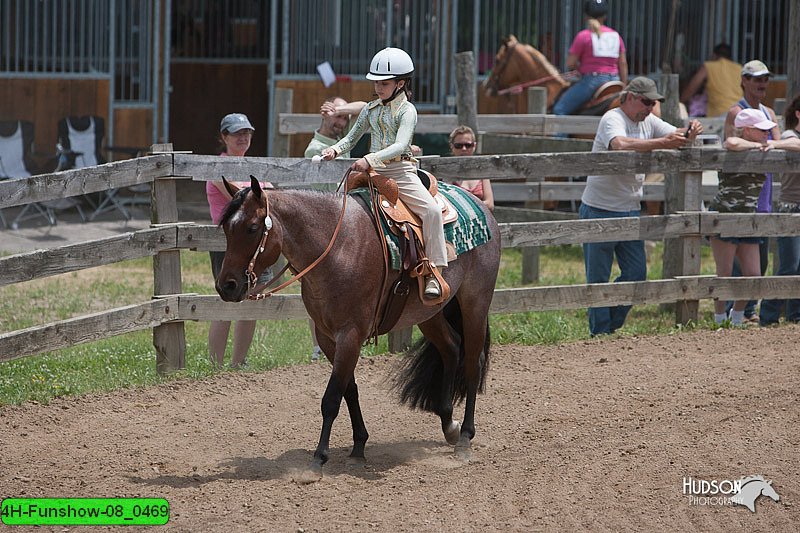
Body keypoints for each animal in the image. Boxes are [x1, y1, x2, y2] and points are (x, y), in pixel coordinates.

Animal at [212, 176, 500, 478]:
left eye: (252, 228)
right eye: (227, 228)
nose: (226, 286)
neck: (338, 248)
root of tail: (481, 206)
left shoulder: (350, 335)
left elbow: (331, 398)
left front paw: (318, 459)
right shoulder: (327, 337)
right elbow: (348, 390)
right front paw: (359, 448)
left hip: (475, 302)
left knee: (473, 363)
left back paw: (465, 438)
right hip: (429, 313)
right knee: (451, 348)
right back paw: (449, 425)